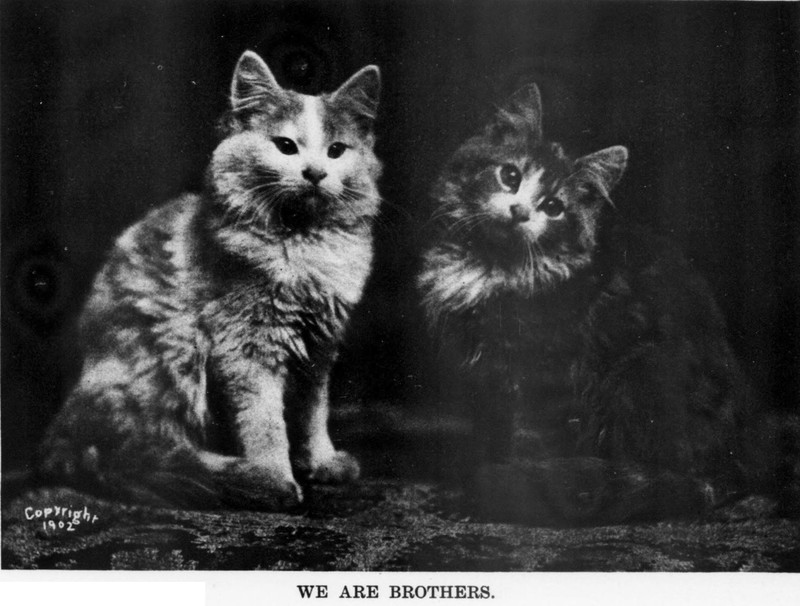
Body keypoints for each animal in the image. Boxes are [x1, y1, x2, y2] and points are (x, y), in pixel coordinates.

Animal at [37, 50, 383, 510]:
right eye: (285, 146)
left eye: (337, 151)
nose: (314, 172)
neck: (301, 242)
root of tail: (62, 430)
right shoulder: (246, 346)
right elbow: (265, 423)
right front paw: (274, 477)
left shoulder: (318, 347)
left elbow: (312, 414)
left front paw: (321, 463)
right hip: (173, 354)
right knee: (136, 453)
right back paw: (227, 472)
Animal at [417, 83, 799, 525]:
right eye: (510, 176)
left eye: (553, 207)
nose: (519, 211)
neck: (491, 264)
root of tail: (750, 457)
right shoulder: (488, 380)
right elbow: (491, 437)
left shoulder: (544, 382)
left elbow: (525, 445)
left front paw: (505, 495)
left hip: (642, 371)